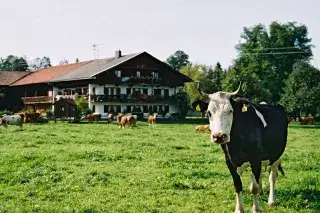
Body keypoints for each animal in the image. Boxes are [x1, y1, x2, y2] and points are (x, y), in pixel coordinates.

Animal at [191, 83, 288, 213]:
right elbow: (237, 185)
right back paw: (262, 192)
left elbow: (254, 188)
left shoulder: (255, 159)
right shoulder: (230, 161)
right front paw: (239, 209)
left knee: (272, 177)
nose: (219, 136)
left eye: (230, 111)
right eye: (209, 112)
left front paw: (256, 209)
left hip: (277, 156)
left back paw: (271, 200)